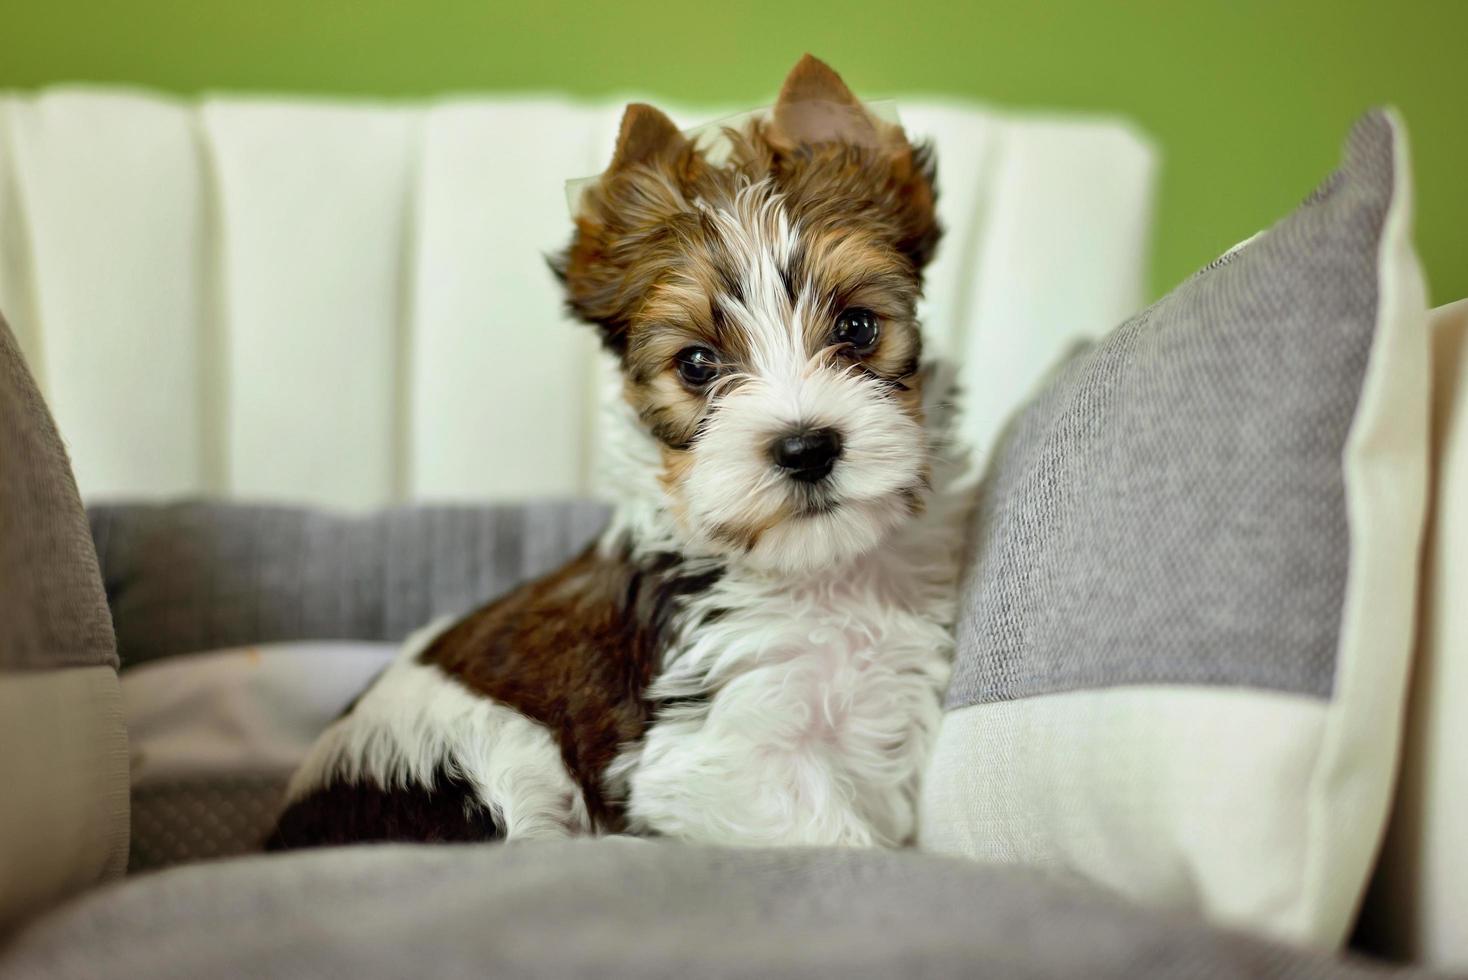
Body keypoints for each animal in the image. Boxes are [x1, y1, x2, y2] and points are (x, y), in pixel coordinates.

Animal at [270, 55, 968, 850]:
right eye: (696, 365)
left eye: (857, 327)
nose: (804, 447)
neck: (820, 569)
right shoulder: (705, 758)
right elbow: (830, 835)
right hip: (497, 767)